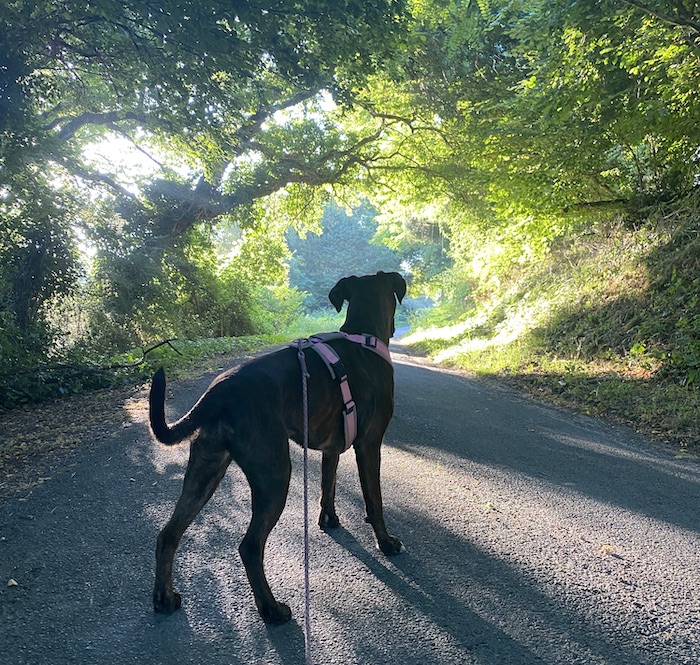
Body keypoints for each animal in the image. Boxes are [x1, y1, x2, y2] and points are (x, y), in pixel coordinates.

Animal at [150, 270, 408, 624]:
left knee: (169, 533)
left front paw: (329, 519)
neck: (362, 336)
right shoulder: (369, 446)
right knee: (250, 546)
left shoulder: (332, 448)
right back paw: (271, 609)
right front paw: (385, 542)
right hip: (274, 475)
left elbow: (328, 485)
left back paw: (163, 597)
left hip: (205, 469)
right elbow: (375, 501)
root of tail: (219, 392)